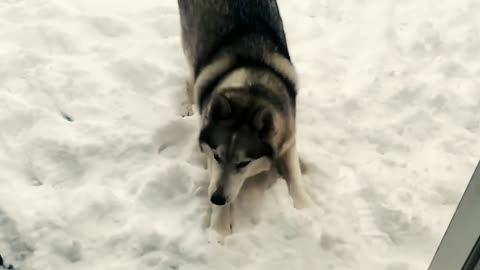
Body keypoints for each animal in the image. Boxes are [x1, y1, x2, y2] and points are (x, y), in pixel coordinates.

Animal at [178, 0, 314, 236]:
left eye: (244, 163)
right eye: (217, 156)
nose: (217, 199)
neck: (251, 90)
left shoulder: (288, 137)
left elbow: (295, 176)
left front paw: (306, 208)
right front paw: (220, 230)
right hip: (191, 44)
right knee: (191, 78)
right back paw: (187, 106)